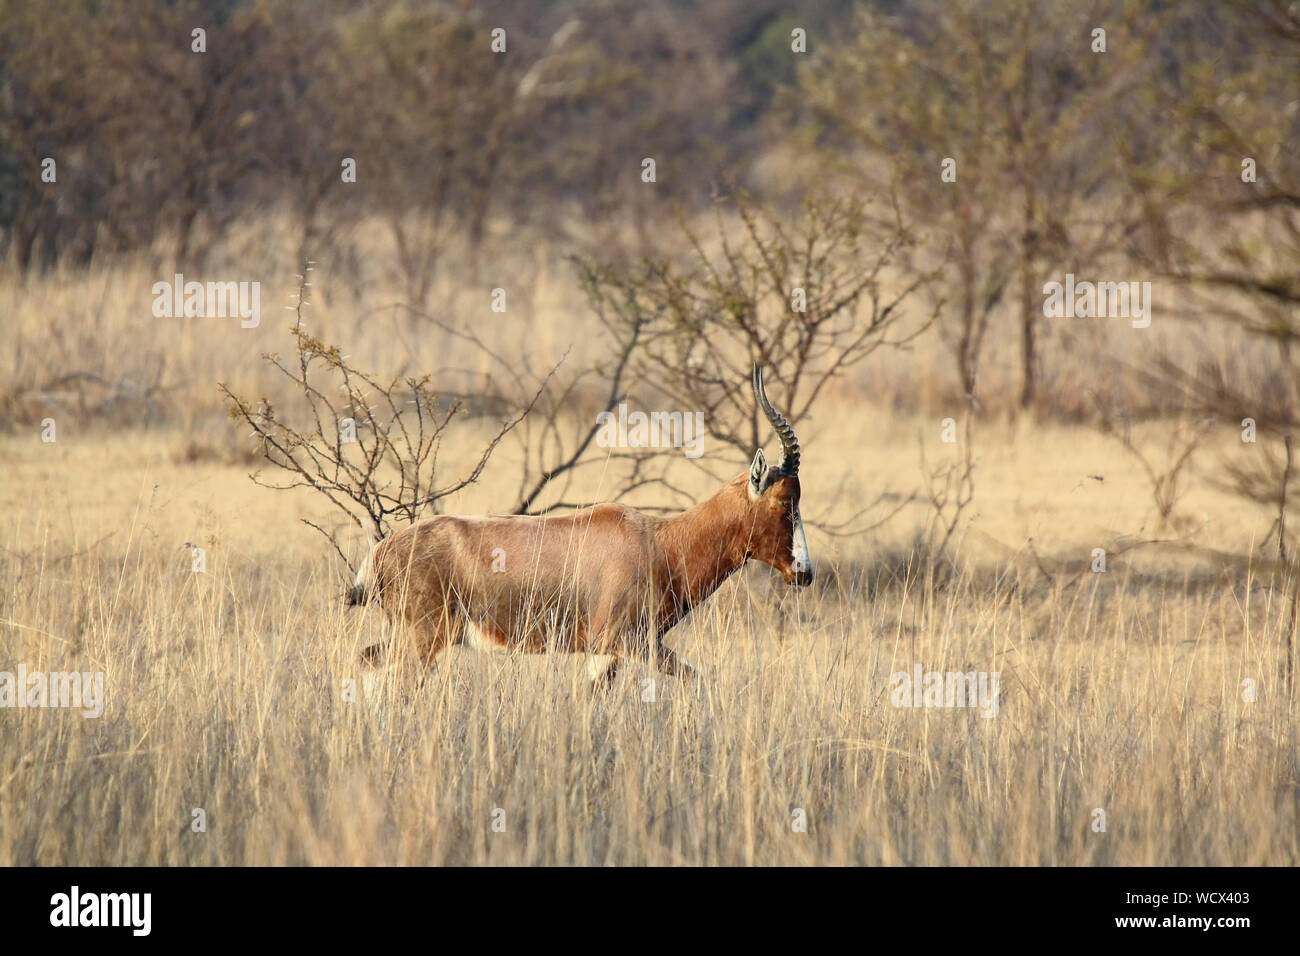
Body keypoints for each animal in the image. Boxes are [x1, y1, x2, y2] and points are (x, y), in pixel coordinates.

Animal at [348, 361, 811, 691]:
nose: (805, 573)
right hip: (422, 637)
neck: (658, 541)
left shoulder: (608, 653)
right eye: (784, 501)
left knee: (366, 664)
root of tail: (381, 552)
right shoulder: (626, 643)